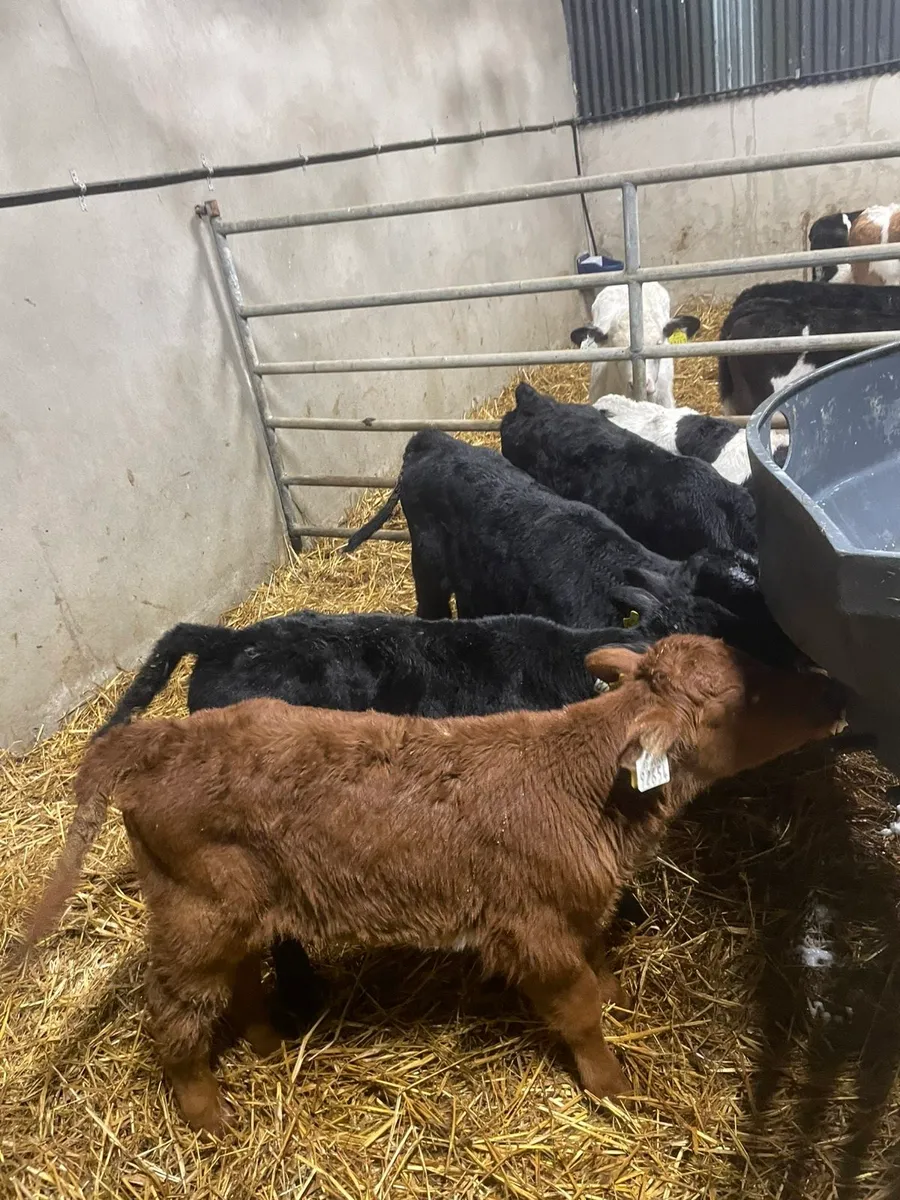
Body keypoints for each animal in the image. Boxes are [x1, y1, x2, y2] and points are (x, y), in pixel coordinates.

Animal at [20, 635, 847, 1133]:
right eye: (745, 699)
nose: (831, 690)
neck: (586, 791)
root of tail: (156, 737)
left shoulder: (573, 910)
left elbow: (599, 968)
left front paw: (616, 1000)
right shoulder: (530, 926)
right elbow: (578, 1009)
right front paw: (610, 1085)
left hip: (240, 909)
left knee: (241, 981)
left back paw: (265, 1044)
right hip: (195, 913)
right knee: (173, 1009)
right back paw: (206, 1112)